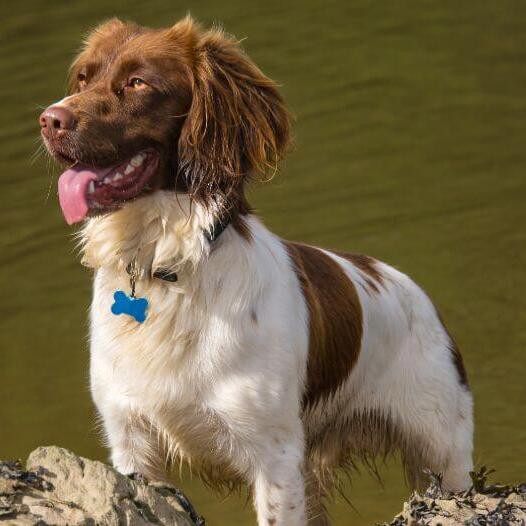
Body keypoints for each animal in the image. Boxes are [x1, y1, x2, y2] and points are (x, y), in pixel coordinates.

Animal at [41, 16, 476, 526]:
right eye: (83, 78)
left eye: (137, 83)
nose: (49, 119)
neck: (166, 268)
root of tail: (411, 290)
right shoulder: (132, 443)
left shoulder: (275, 457)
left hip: (444, 453)